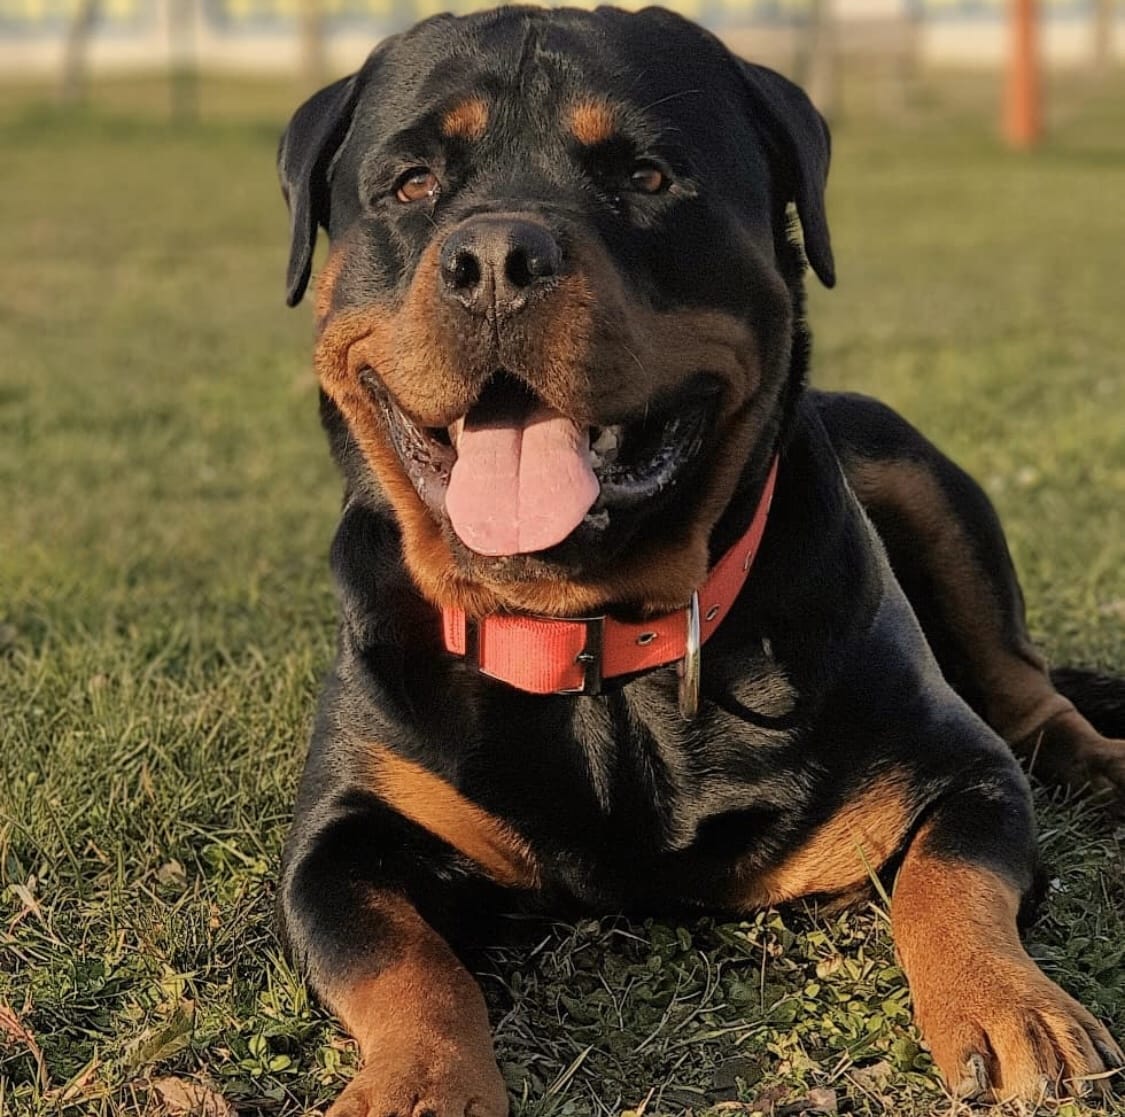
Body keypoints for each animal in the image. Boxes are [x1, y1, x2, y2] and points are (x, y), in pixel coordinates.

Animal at [275, 7, 1125, 1114]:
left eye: (646, 175)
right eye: (412, 182)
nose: (496, 255)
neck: (592, 642)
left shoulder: (953, 768)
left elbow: (952, 872)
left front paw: (1014, 1007)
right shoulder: (341, 836)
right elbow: (400, 957)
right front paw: (419, 1082)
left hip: (922, 480)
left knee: (1027, 692)